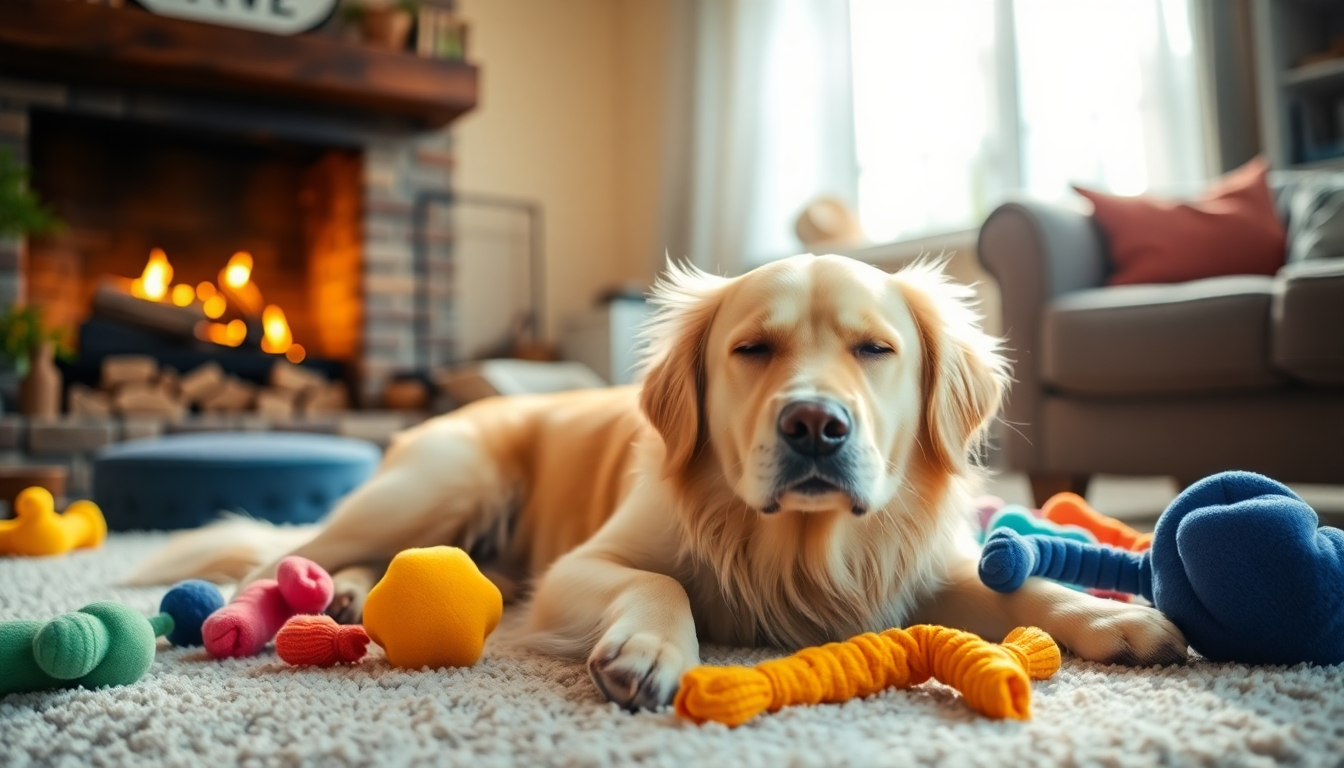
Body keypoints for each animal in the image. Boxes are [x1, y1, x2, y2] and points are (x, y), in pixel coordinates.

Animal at [131, 256, 1188, 710]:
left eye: (875, 349)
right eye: (752, 348)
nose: (815, 425)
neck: (799, 545)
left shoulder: (921, 568)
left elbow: (1025, 585)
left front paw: (1116, 616)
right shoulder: (577, 569)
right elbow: (660, 580)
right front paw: (646, 649)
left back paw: (345, 598)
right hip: (444, 483)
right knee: (289, 556)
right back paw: (284, 600)